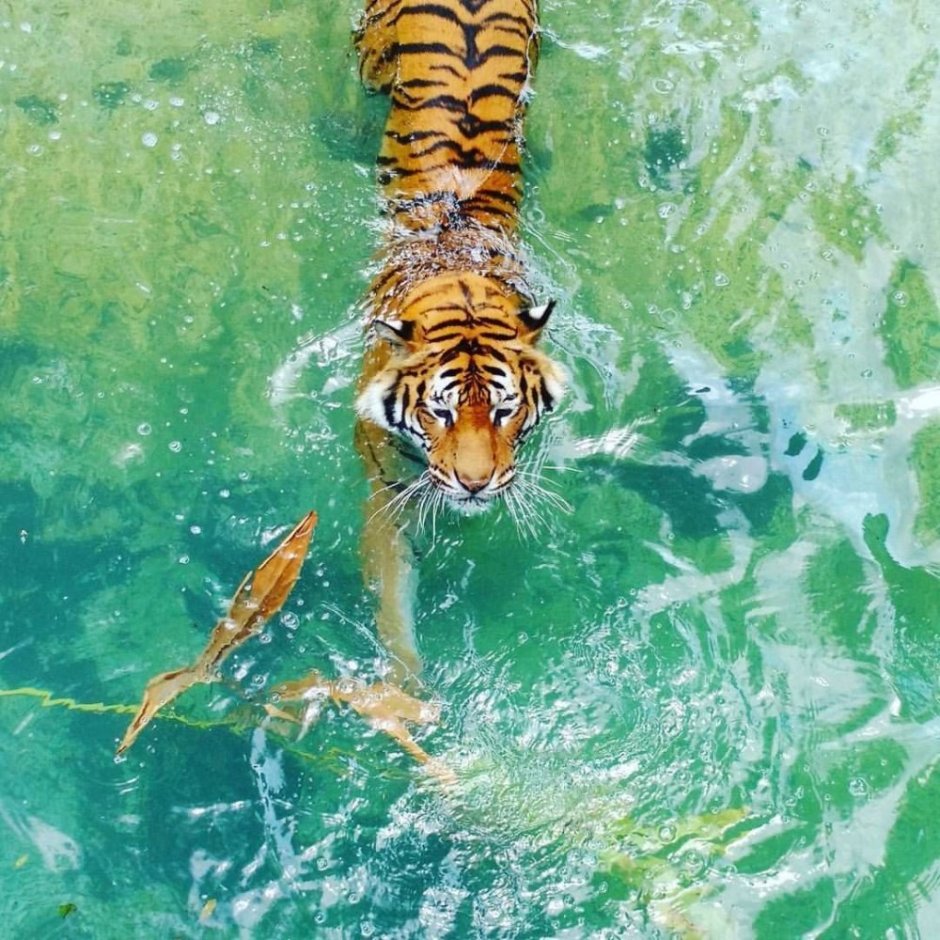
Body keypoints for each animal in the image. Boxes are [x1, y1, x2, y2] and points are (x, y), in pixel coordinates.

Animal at [350, 0, 565, 682]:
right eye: (438, 412)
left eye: (504, 410)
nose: (475, 485)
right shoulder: (387, 493)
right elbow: (393, 601)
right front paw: (408, 685)